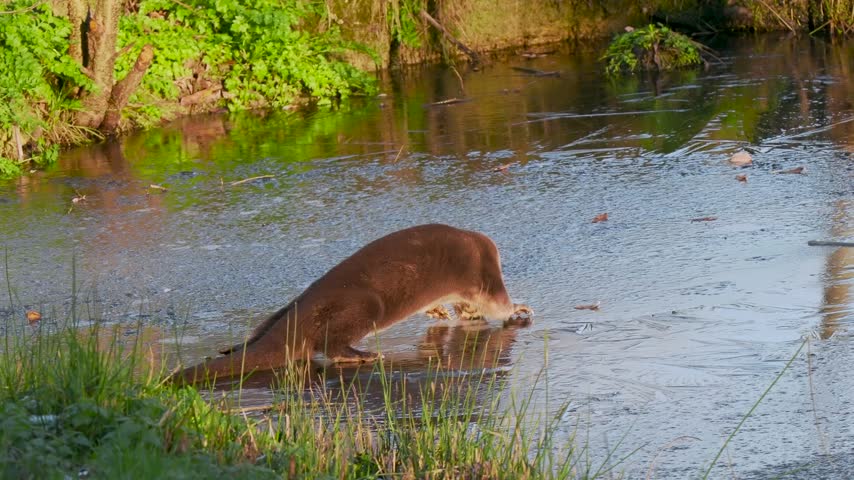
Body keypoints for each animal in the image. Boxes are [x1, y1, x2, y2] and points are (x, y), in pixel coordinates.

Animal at [175, 224, 532, 382]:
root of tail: (296, 316)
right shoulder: (485, 273)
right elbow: (498, 304)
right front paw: (519, 310)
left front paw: (445, 311)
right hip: (367, 304)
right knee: (328, 344)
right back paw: (364, 355)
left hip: (282, 312)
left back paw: (231, 347)